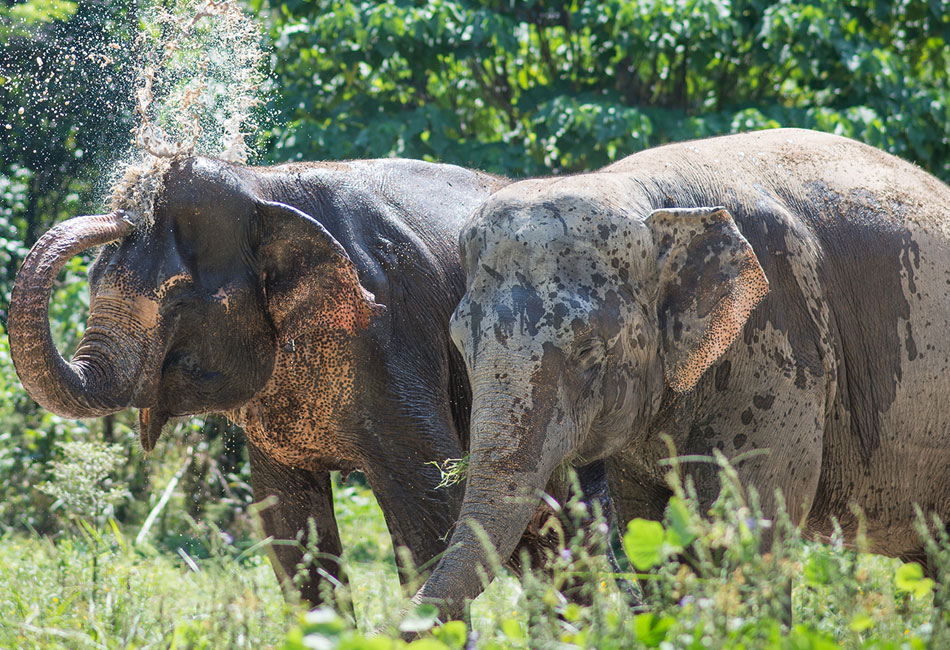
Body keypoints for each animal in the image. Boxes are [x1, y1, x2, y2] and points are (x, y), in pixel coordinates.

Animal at [9, 154, 616, 604]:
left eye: (179, 302)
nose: (126, 212)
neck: (263, 187)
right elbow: (290, 529)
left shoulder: (393, 335)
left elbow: (434, 508)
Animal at [410, 128, 950, 616]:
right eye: (461, 345)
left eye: (588, 352)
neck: (648, 198)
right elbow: (646, 528)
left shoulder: (779, 346)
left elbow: (745, 531)